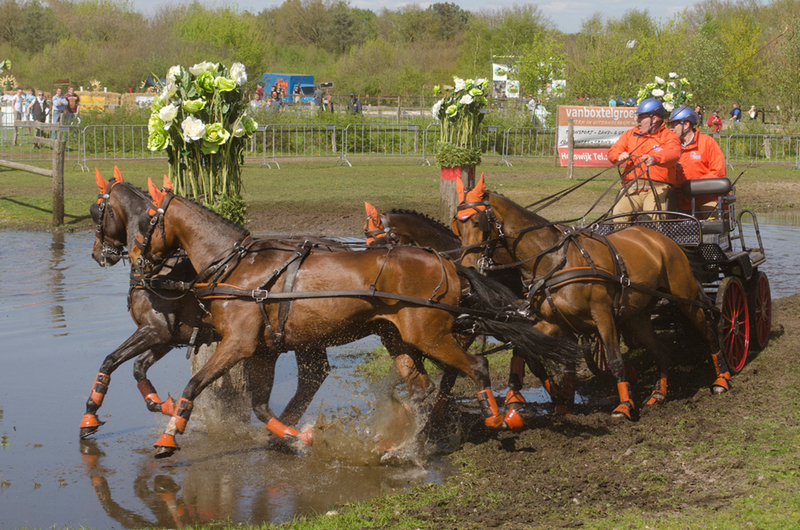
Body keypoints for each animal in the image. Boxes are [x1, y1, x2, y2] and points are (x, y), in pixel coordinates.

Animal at [451, 174, 731, 420]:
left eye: (477, 222)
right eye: (457, 225)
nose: (468, 270)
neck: (555, 260)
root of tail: (662, 239)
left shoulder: (602, 314)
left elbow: (615, 360)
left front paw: (624, 406)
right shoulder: (555, 322)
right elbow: (525, 350)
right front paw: (527, 399)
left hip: (685, 298)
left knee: (709, 332)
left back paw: (722, 379)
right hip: (637, 316)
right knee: (661, 350)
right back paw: (658, 394)